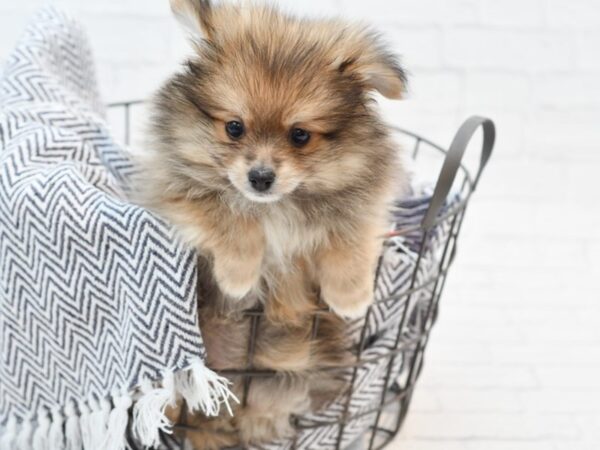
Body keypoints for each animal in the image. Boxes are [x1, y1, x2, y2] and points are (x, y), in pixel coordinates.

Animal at [137, 0, 408, 444]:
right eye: (234, 127)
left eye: (300, 135)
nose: (260, 178)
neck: (275, 206)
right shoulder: (174, 193)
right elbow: (232, 216)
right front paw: (238, 275)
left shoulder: (363, 201)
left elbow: (348, 235)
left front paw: (351, 297)